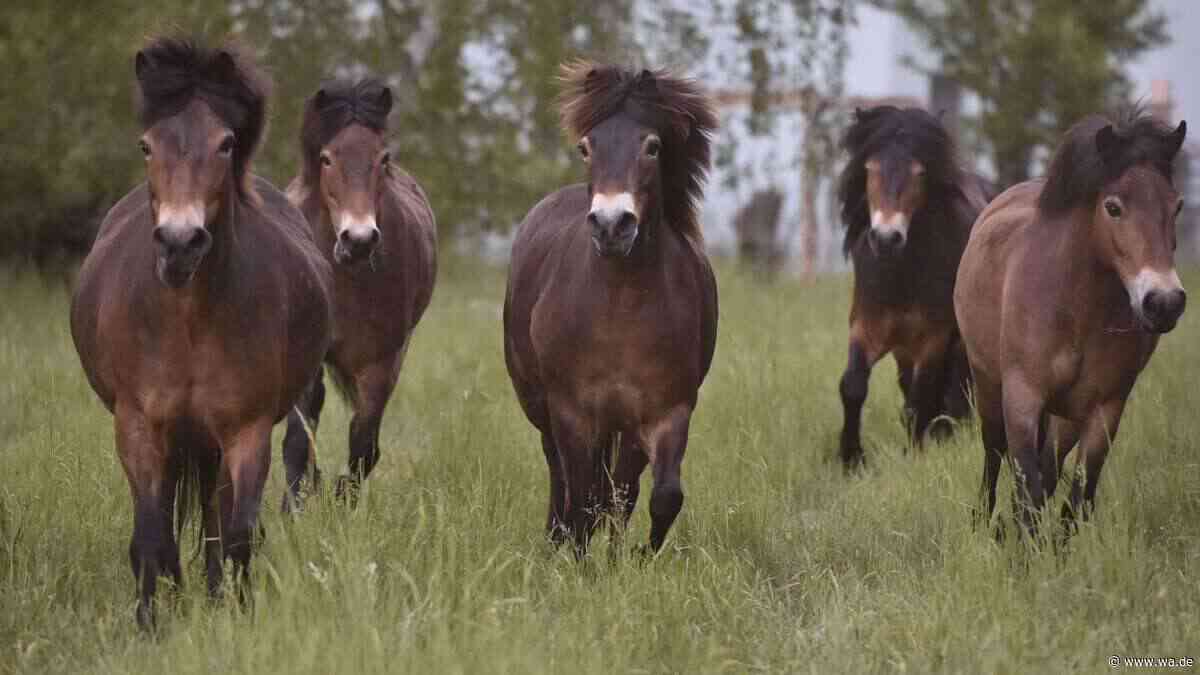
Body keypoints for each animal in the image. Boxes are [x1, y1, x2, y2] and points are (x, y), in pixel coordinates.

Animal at [70, 38, 333, 628]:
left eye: (226, 144)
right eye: (147, 145)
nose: (179, 243)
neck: (188, 318)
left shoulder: (246, 431)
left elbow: (237, 535)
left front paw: (237, 612)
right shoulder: (139, 425)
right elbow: (150, 536)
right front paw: (149, 623)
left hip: (210, 439)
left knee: (215, 515)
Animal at [281, 79, 437, 508]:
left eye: (383, 158)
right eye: (326, 158)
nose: (360, 239)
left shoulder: (381, 361)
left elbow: (364, 444)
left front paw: (341, 499)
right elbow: (297, 439)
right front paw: (295, 507)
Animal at [503, 63, 719, 555]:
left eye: (652, 146)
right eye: (586, 146)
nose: (611, 225)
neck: (620, 304)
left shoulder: (665, 411)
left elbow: (657, 496)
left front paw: (630, 557)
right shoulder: (572, 411)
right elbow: (581, 498)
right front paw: (579, 558)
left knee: (618, 489)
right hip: (542, 407)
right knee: (561, 477)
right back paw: (557, 539)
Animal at [835, 106, 994, 471]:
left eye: (919, 173)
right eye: (870, 169)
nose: (886, 238)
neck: (902, 273)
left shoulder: (932, 338)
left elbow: (919, 402)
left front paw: (915, 454)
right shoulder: (866, 327)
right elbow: (853, 386)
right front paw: (851, 458)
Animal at [955, 110, 1187, 538]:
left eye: (1177, 205)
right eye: (1113, 207)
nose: (1164, 302)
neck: (1077, 311)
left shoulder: (1105, 410)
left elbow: (1076, 497)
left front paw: (1049, 550)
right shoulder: (1022, 396)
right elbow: (1026, 484)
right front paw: (1021, 546)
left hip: (1067, 417)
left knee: (1049, 469)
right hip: (987, 381)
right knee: (994, 454)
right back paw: (984, 521)